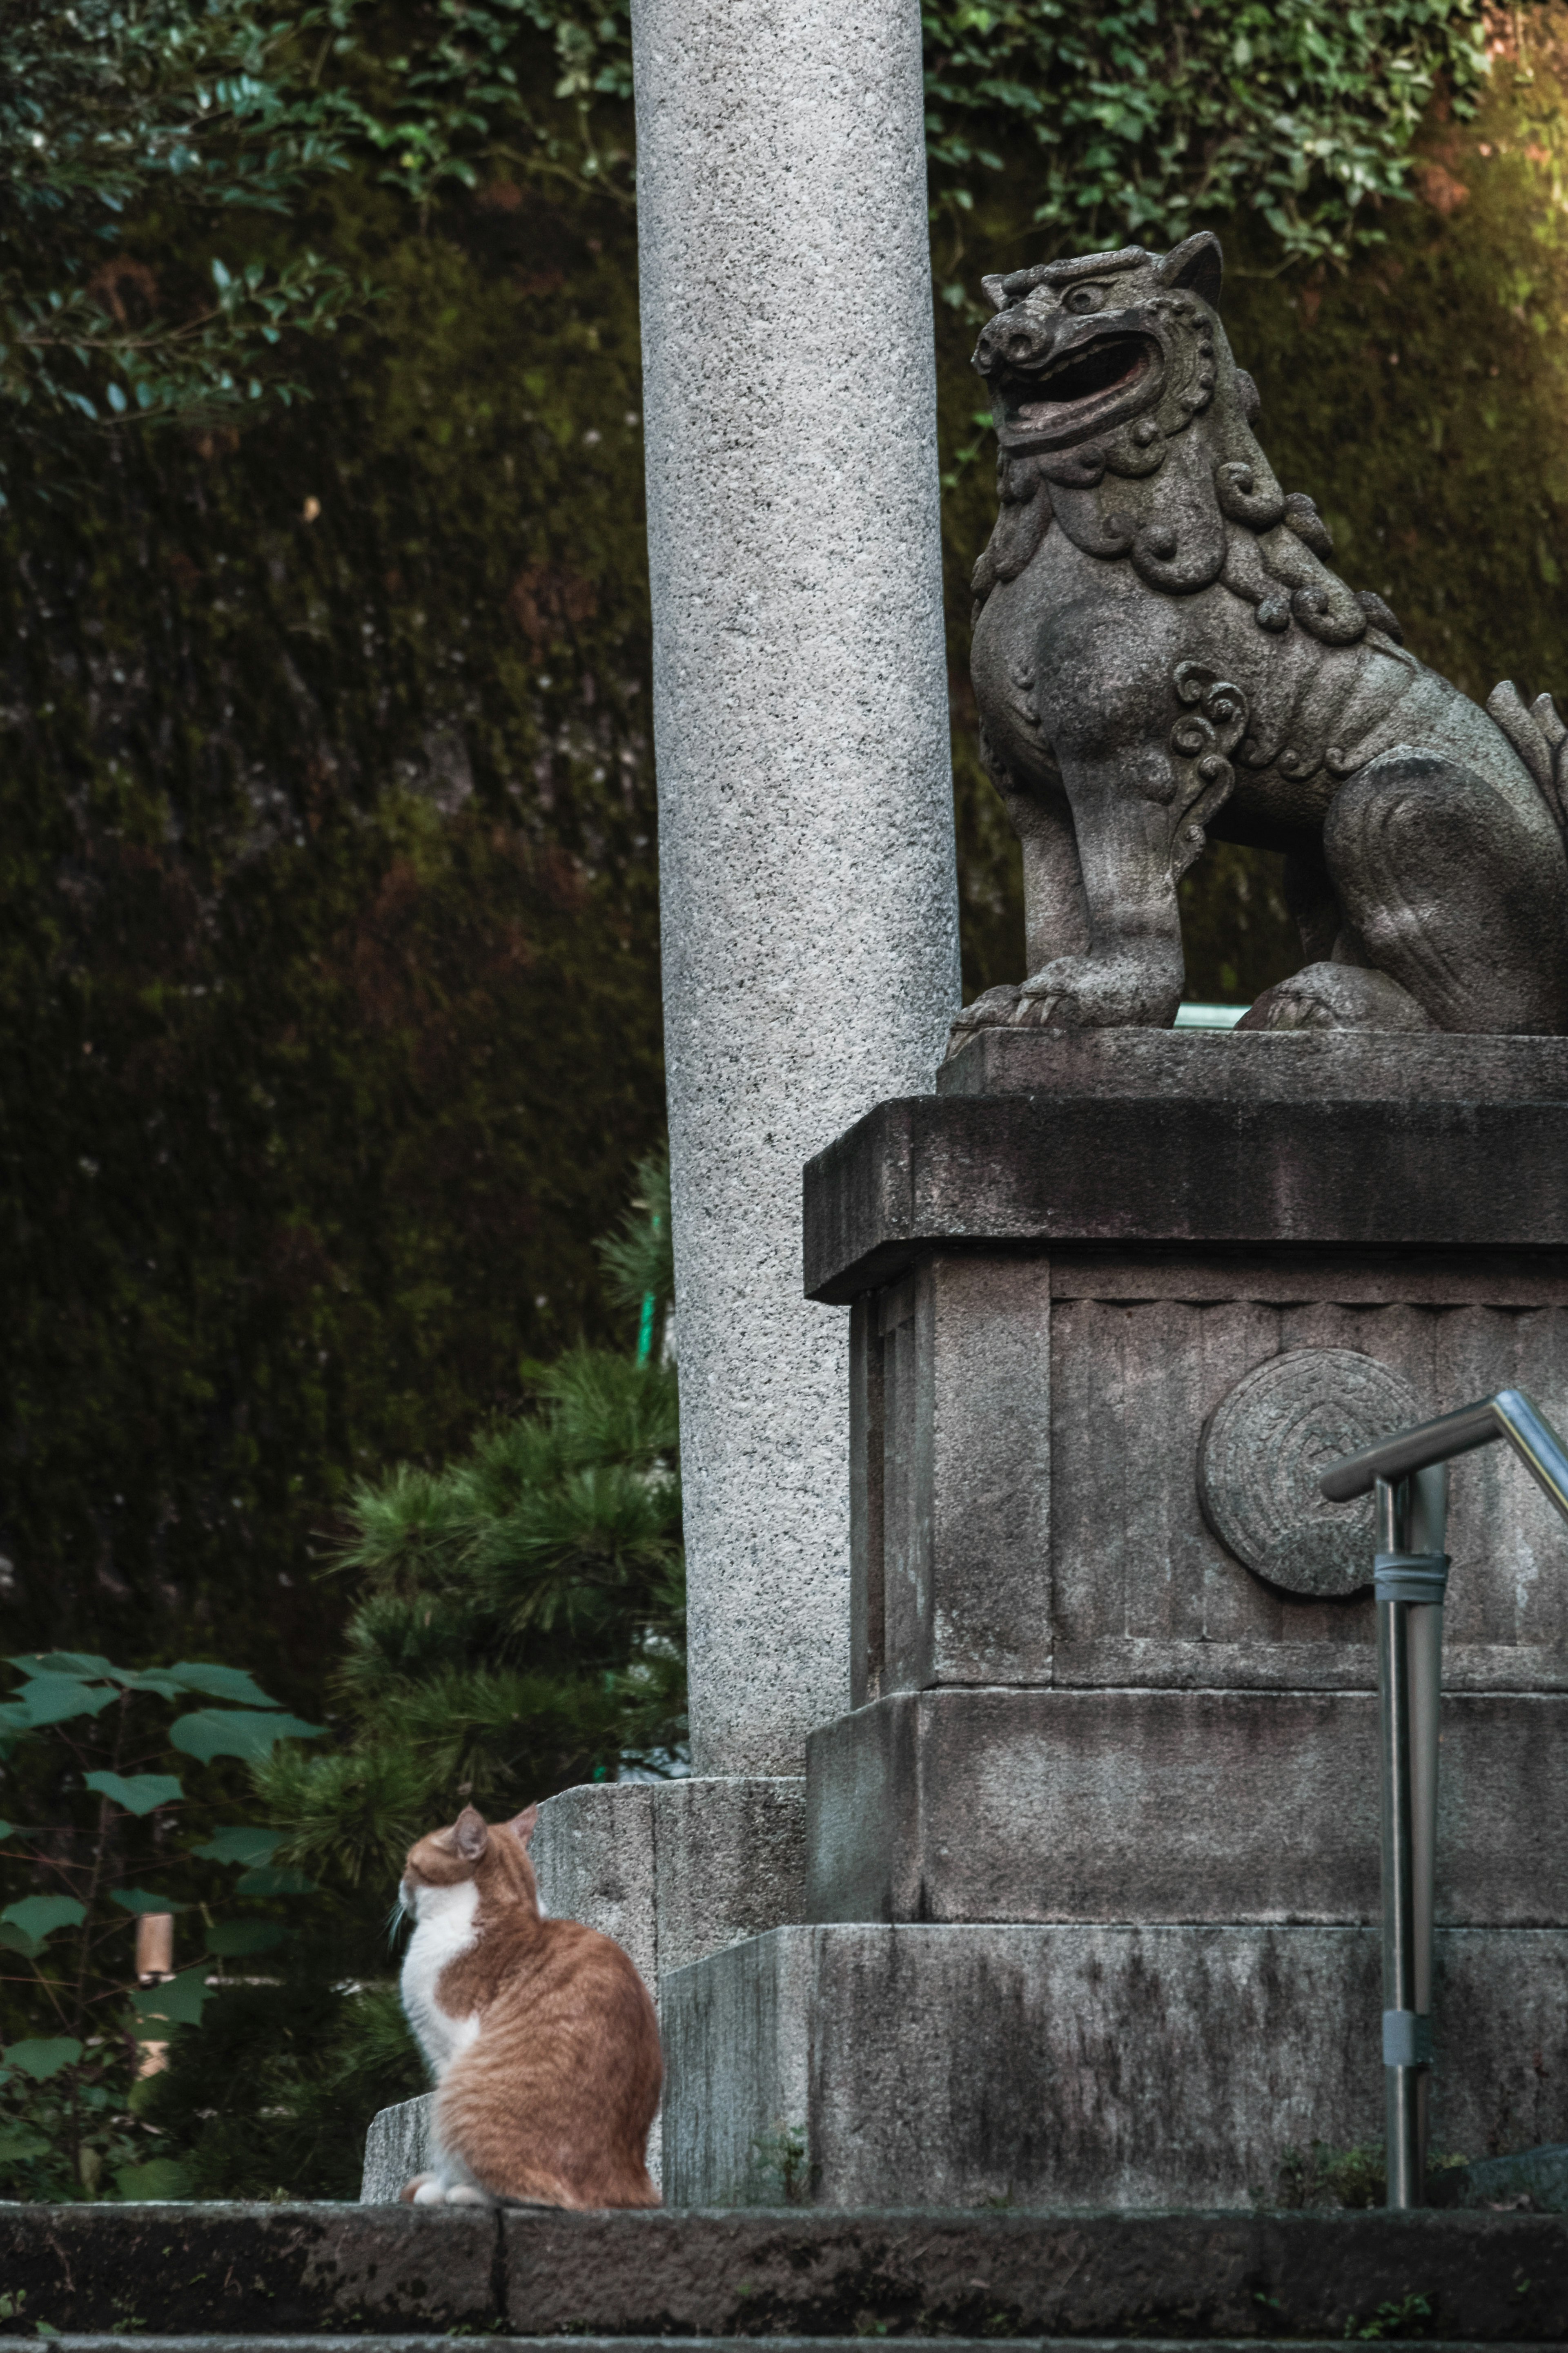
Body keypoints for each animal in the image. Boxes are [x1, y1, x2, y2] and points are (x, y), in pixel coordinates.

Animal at [399, 1798, 663, 2202]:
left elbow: (443, 2149)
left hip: (465, 2093)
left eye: (410, 1865)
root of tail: (627, 2182)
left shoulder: (451, 2052)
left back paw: (463, 2193)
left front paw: (442, 2188)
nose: (399, 1888)